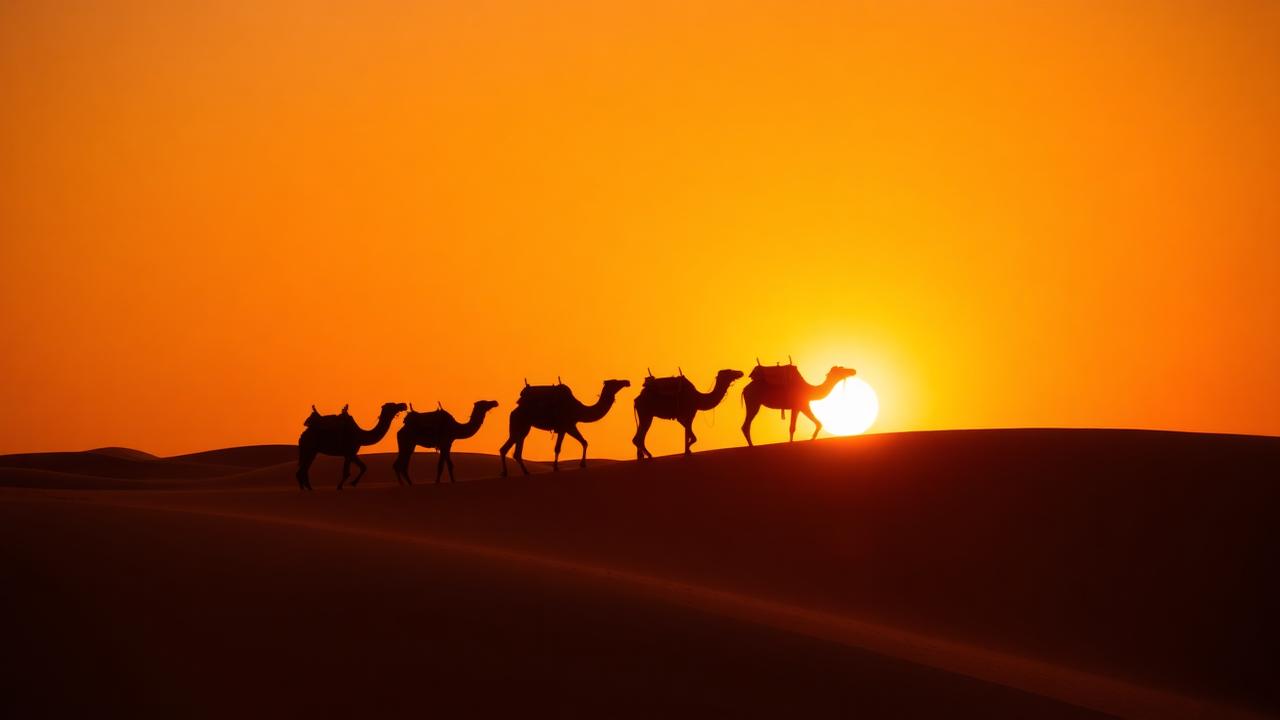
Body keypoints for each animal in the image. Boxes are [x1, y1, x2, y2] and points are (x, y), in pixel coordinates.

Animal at [499, 379, 631, 476]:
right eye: (615, 382)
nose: (627, 382)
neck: (579, 409)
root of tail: (514, 411)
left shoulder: (569, 426)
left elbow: (584, 442)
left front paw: (582, 464)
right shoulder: (566, 426)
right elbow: (559, 448)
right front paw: (557, 468)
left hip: (522, 427)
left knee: (511, 450)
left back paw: (517, 473)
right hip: (521, 424)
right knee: (511, 449)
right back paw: (515, 472)